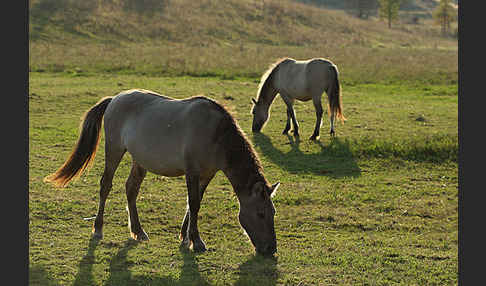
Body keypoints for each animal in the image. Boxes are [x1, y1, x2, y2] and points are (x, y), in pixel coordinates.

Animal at [46, 88, 280, 256]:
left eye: (273, 213)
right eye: (260, 213)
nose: (271, 249)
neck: (216, 134)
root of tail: (115, 99)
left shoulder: (206, 175)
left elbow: (193, 204)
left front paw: (185, 237)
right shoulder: (192, 173)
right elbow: (194, 204)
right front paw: (196, 241)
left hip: (139, 161)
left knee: (131, 189)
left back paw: (138, 231)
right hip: (114, 150)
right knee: (106, 186)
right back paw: (98, 228)